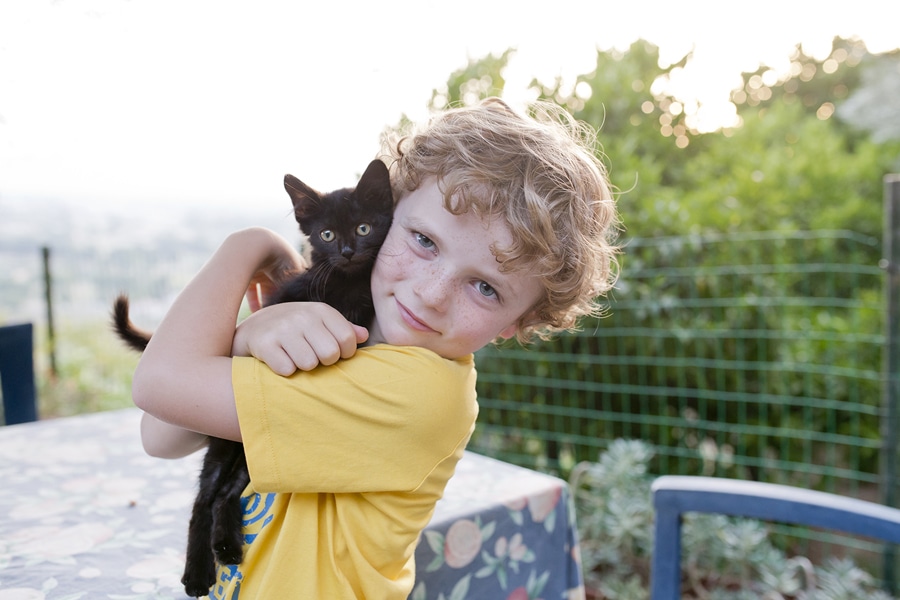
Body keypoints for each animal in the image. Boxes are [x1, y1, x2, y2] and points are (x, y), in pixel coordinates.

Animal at [112, 159, 394, 596]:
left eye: (364, 227)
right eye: (327, 234)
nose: (347, 252)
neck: (347, 285)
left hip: (247, 452)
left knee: (225, 494)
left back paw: (225, 547)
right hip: (227, 444)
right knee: (204, 498)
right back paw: (199, 571)